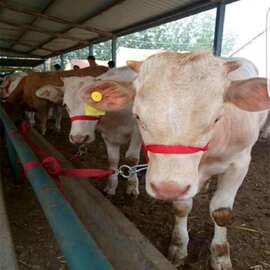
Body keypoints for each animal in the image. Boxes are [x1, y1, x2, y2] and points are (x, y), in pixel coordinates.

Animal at [35, 66, 141, 195]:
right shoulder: (108, 135)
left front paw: (132, 186)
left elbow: (132, 158)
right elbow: (112, 160)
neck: (115, 119)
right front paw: (111, 186)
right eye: (65, 105)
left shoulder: (138, 132)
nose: (78, 138)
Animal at [80, 51, 270, 268]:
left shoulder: (239, 163)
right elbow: (181, 208)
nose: (167, 188)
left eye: (216, 118)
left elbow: (221, 212)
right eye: (137, 116)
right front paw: (179, 247)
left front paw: (220, 255)